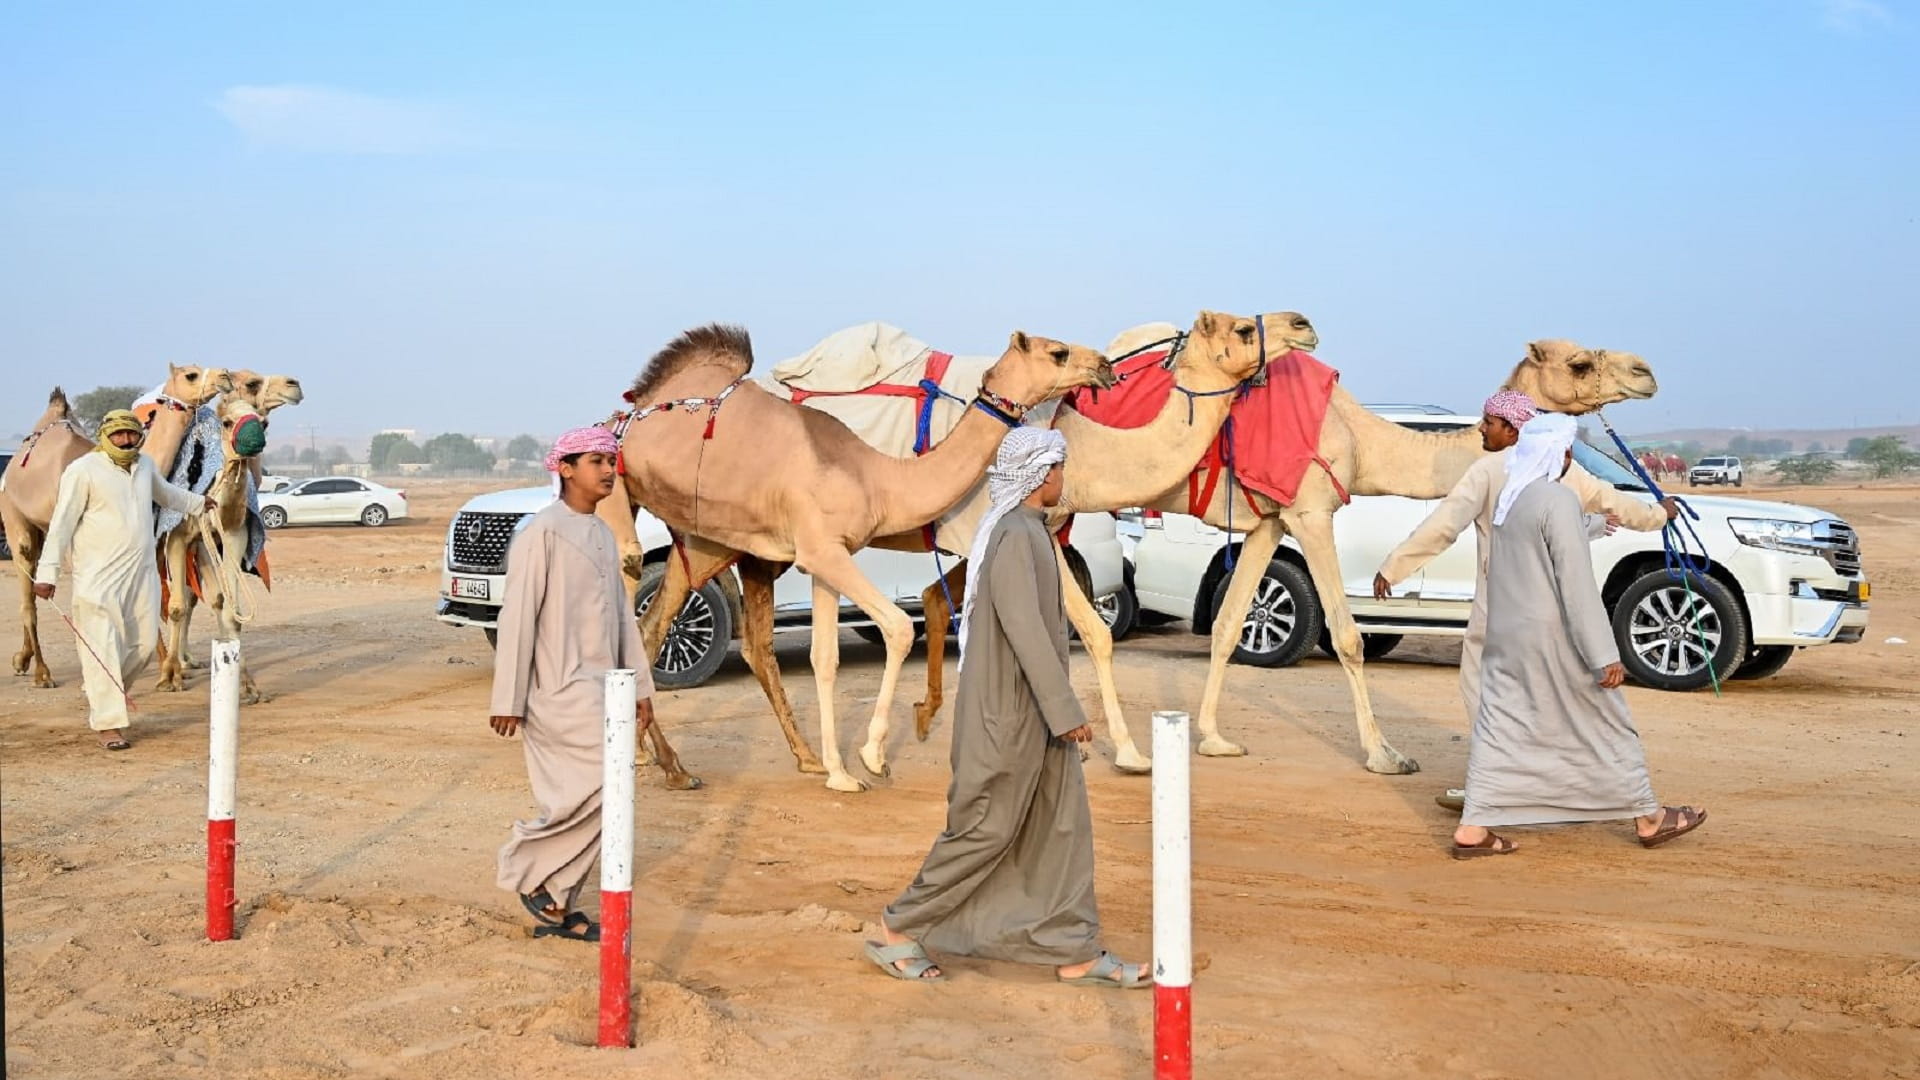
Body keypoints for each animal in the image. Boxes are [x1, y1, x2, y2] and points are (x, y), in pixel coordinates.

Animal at [2, 361, 231, 680]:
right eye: (191, 374)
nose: (225, 376)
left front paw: (166, 665)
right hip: (16, 519)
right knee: (28, 597)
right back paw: (42, 672)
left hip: (44, 529)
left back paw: (22, 659)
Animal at [599, 322, 1113, 787]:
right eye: (1058, 352)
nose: (1104, 365)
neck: (877, 477)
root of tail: (621, 417)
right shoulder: (824, 549)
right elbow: (898, 627)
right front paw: (872, 756)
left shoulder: (825, 556)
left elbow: (824, 658)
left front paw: (837, 771)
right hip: (617, 488)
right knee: (629, 572)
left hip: (703, 541)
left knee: (653, 629)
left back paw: (673, 765)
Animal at [921, 332, 1658, 768]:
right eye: (1579, 361)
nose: (1646, 370)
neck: (1361, 437)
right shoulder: (1311, 508)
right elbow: (1348, 635)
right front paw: (1386, 754)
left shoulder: (1271, 521)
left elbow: (1226, 624)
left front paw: (1214, 737)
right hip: (1051, 501)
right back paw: (1118, 751)